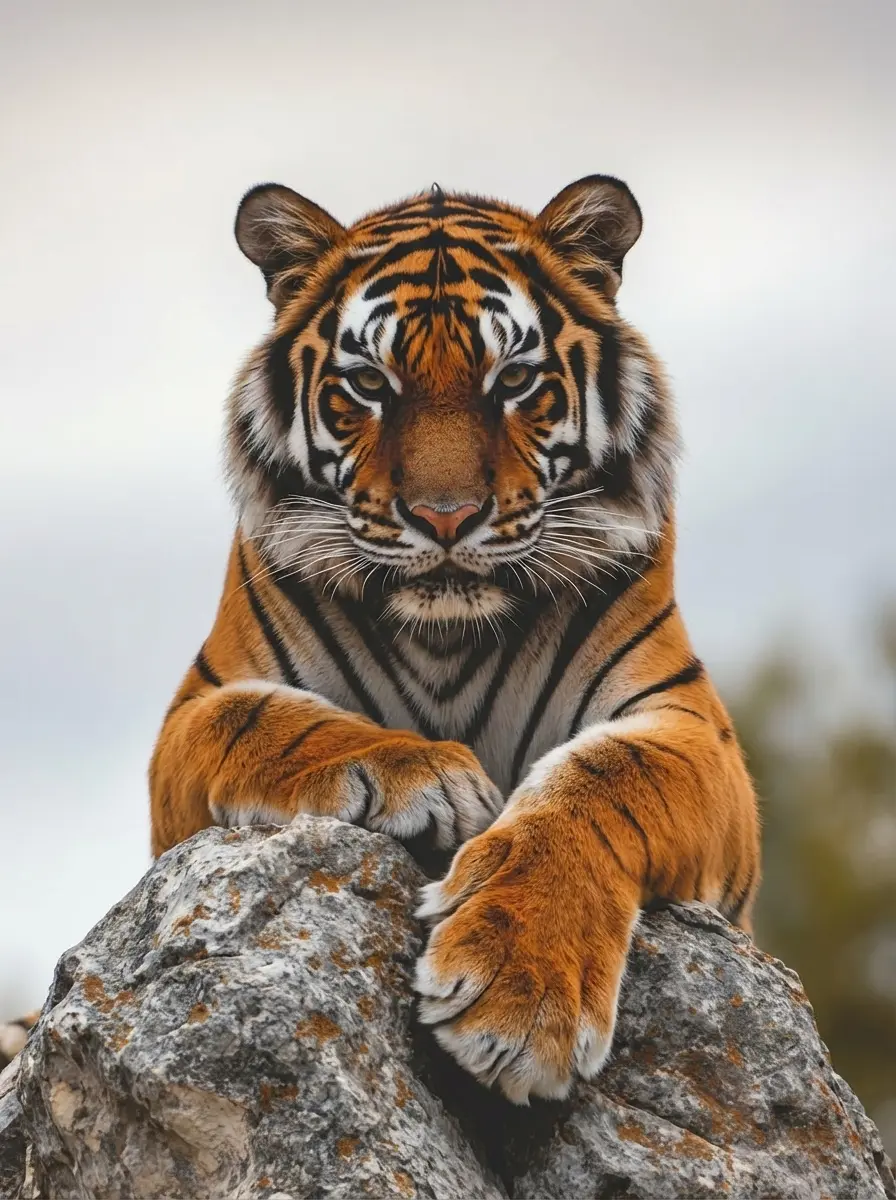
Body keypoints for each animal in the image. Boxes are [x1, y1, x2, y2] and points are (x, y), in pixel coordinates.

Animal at [149, 175, 759, 1106]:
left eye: (514, 379)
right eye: (369, 383)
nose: (444, 517)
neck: (448, 637)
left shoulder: (690, 727)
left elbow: (607, 777)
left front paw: (518, 995)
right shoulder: (196, 708)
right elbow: (262, 717)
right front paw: (427, 772)